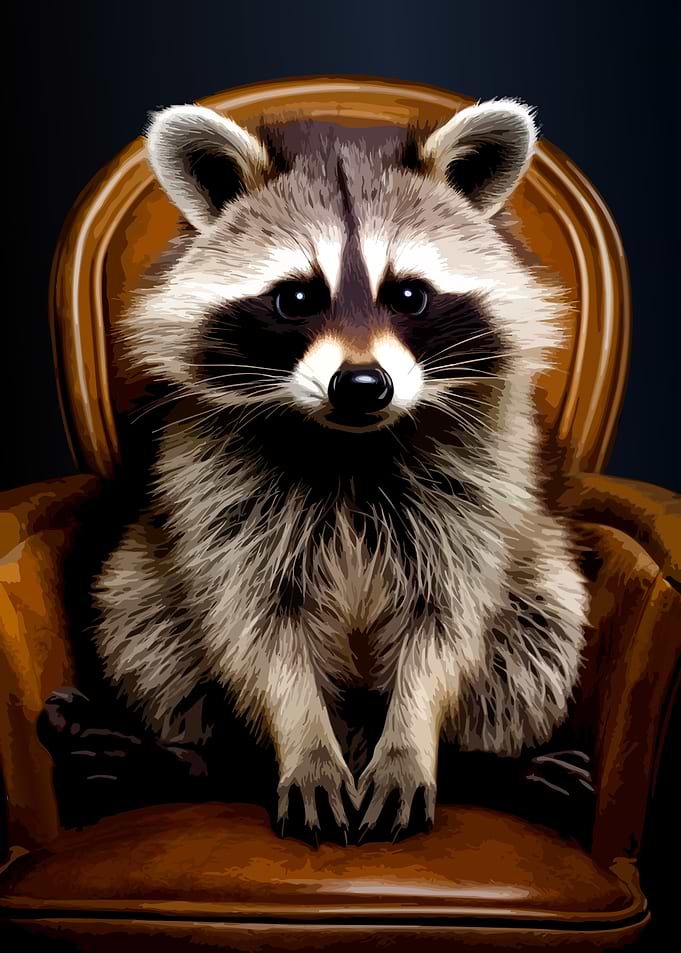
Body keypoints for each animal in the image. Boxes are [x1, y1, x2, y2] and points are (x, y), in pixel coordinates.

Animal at [89, 99, 589, 842]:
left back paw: (490, 765)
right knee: (141, 622)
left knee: (540, 623)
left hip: (539, 583)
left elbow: (447, 620)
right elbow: (255, 624)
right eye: (297, 299)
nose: (361, 385)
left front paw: (411, 741)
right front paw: (305, 745)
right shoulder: (215, 483)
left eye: (408, 295)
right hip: (143, 581)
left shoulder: (479, 479)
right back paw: (195, 755)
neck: (350, 443)